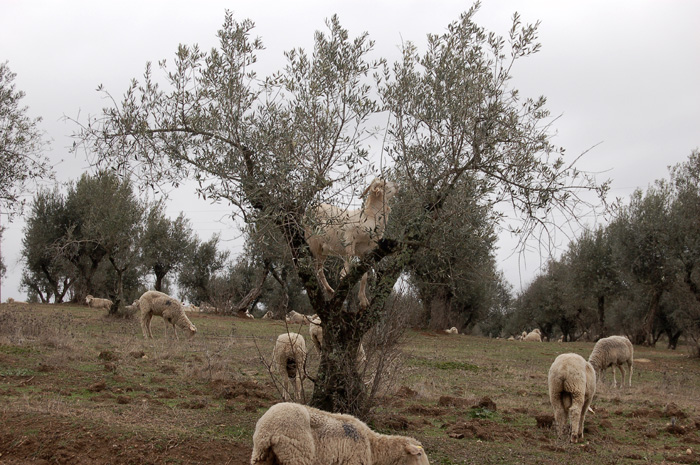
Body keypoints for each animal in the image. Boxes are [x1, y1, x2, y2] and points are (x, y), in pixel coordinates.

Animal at [304, 178, 396, 308]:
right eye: (384, 184)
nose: (397, 185)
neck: (370, 216)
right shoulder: (349, 238)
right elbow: (348, 264)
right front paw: (343, 276)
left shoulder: (364, 252)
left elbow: (364, 276)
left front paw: (363, 301)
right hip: (314, 243)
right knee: (316, 268)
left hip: (322, 251)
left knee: (320, 269)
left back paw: (329, 290)